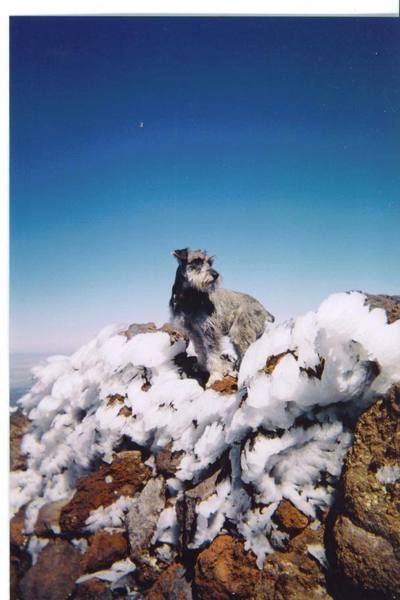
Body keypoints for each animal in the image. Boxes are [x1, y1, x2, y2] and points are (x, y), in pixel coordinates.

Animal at [169, 248, 276, 384]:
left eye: (210, 262)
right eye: (196, 261)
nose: (215, 275)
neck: (189, 297)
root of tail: (263, 309)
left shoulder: (210, 330)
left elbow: (213, 354)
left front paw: (214, 377)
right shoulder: (194, 332)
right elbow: (200, 350)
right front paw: (201, 366)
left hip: (240, 333)